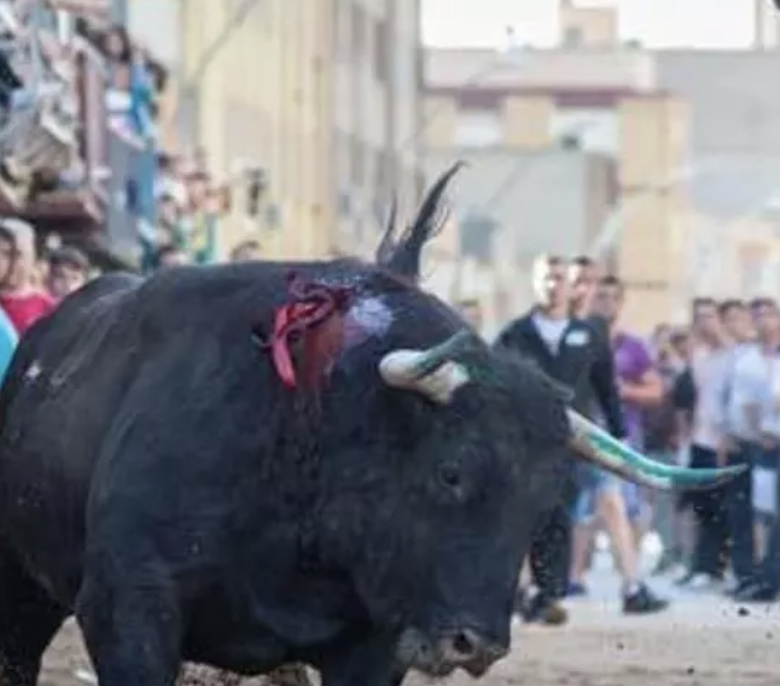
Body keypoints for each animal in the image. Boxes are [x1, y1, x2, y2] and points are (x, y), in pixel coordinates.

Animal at [0, 164, 741, 686]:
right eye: (451, 472)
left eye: (545, 501)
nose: (474, 643)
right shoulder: (128, 608)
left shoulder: (373, 645)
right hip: (25, 590)